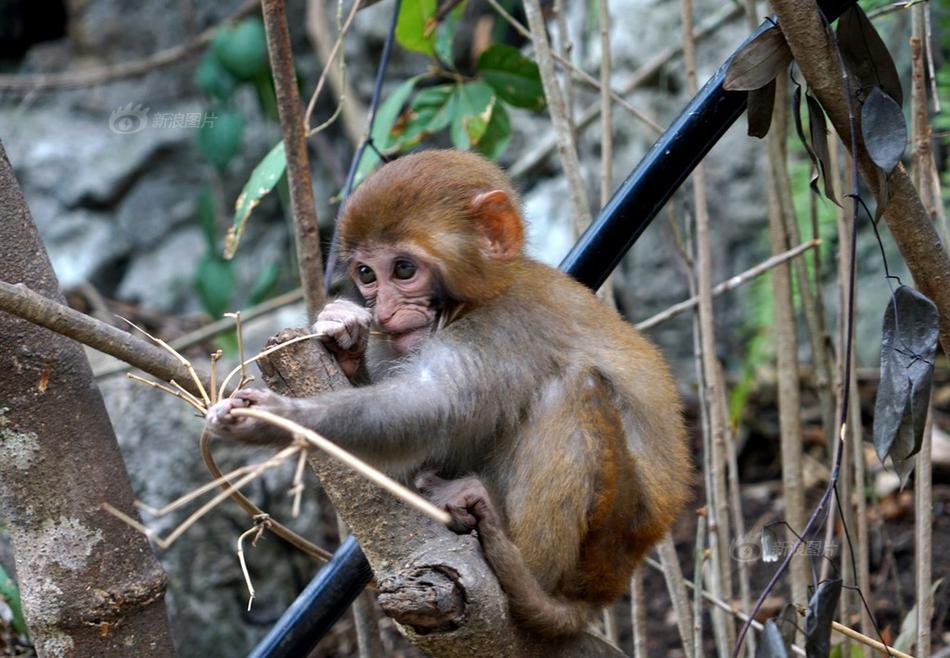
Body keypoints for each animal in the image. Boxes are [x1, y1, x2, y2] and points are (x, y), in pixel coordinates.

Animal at [206, 150, 692, 636]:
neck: (480, 299)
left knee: (574, 388)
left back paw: (521, 565)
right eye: (366, 274)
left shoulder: (506, 325)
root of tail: (609, 585)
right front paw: (345, 337)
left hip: (606, 536)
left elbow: (430, 406)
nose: (384, 311)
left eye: (403, 269)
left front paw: (279, 418)